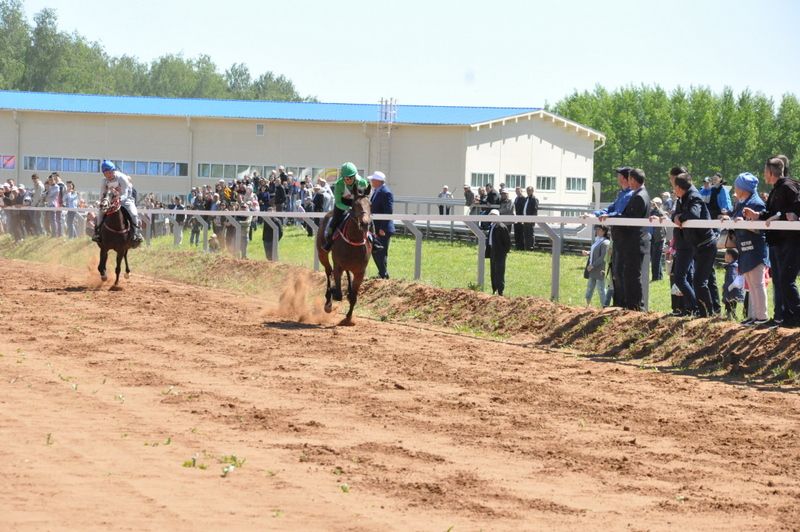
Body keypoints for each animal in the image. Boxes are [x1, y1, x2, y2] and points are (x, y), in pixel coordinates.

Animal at [316, 193, 372, 322]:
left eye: (370, 204)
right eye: (355, 205)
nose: (365, 223)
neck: (354, 242)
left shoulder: (360, 272)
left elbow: (354, 296)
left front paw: (348, 317)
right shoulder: (338, 267)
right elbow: (338, 294)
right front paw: (330, 299)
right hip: (322, 253)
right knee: (328, 271)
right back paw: (328, 299)